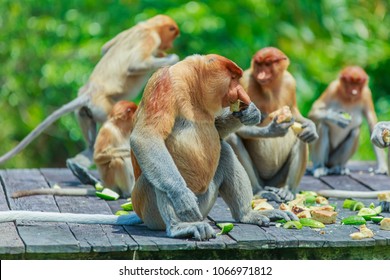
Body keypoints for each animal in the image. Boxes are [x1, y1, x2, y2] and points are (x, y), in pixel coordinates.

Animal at [0, 14, 180, 173]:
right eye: (173, 35)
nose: (169, 46)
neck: (148, 26)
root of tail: (89, 92)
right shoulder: (150, 38)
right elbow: (135, 65)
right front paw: (172, 57)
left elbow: (104, 48)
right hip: (104, 107)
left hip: (85, 111)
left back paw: (82, 159)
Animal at [0, 54, 298, 241]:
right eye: (234, 79)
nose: (241, 93)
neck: (192, 86)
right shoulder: (165, 84)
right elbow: (147, 138)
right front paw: (181, 197)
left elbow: (216, 130)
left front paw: (249, 113)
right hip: (150, 206)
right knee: (157, 175)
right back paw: (180, 228)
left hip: (206, 202)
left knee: (224, 152)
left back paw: (247, 215)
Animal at [224, 47, 318, 202]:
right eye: (259, 64)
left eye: (268, 64)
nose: (261, 74)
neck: (269, 88)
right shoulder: (244, 80)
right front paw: (272, 130)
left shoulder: (290, 81)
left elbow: (294, 112)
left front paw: (311, 128)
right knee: (233, 138)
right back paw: (259, 191)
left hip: (277, 179)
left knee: (302, 138)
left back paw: (287, 191)